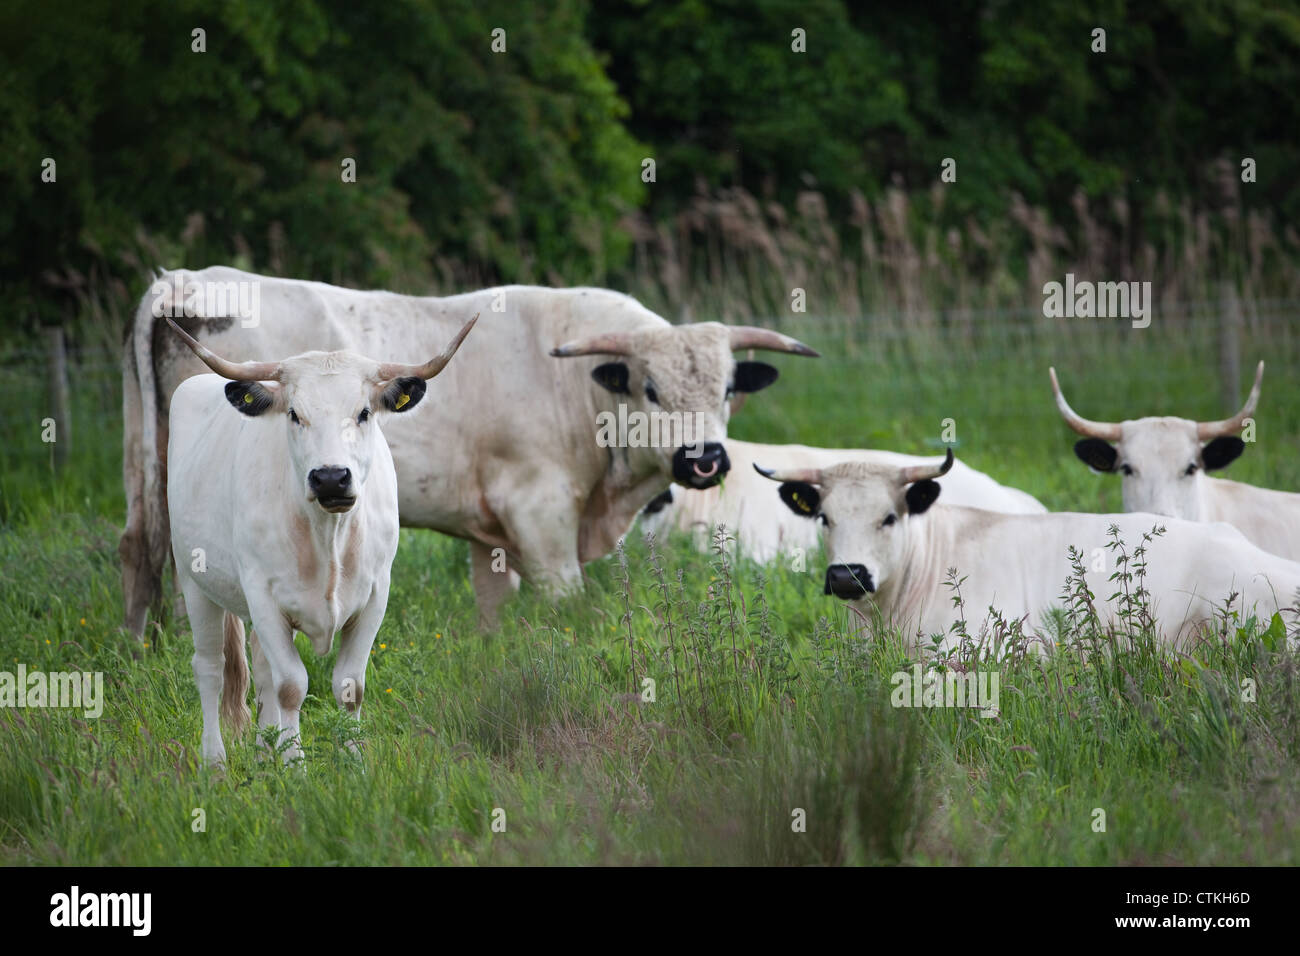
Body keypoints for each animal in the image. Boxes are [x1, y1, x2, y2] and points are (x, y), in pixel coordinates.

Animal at [119, 267, 811, 634]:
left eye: (727, 389)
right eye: (650, 388)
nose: (705, 459)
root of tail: (182, 283)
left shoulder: (492, 534)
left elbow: (493, 611)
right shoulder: (540, 513)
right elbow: (566, 599)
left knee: (139, 549)